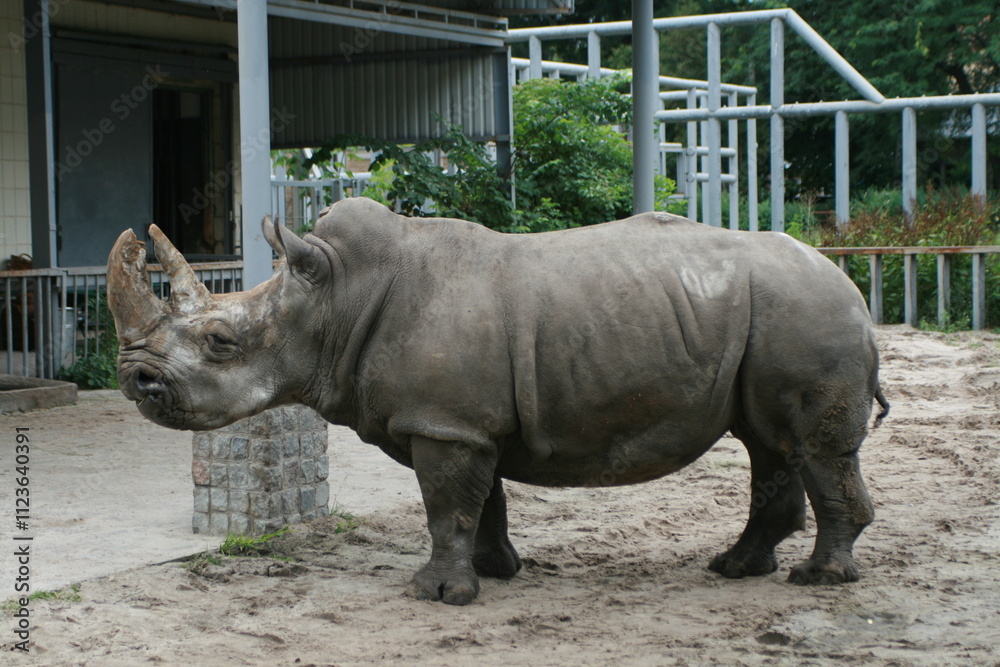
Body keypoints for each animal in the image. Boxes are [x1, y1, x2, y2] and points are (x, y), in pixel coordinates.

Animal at [107, 197, 888, 605]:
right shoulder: (465, 421)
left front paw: (435, 594)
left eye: (220, 342)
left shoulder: (447, 423)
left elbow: (445, 505)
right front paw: (493, 572)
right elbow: (481, 503)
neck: (335, 299)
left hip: (807, 312)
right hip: (778, 315)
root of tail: (851, 285)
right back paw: (737, 568)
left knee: (810, 446)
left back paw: (818, 580)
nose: (134, 381)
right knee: (768, 441)